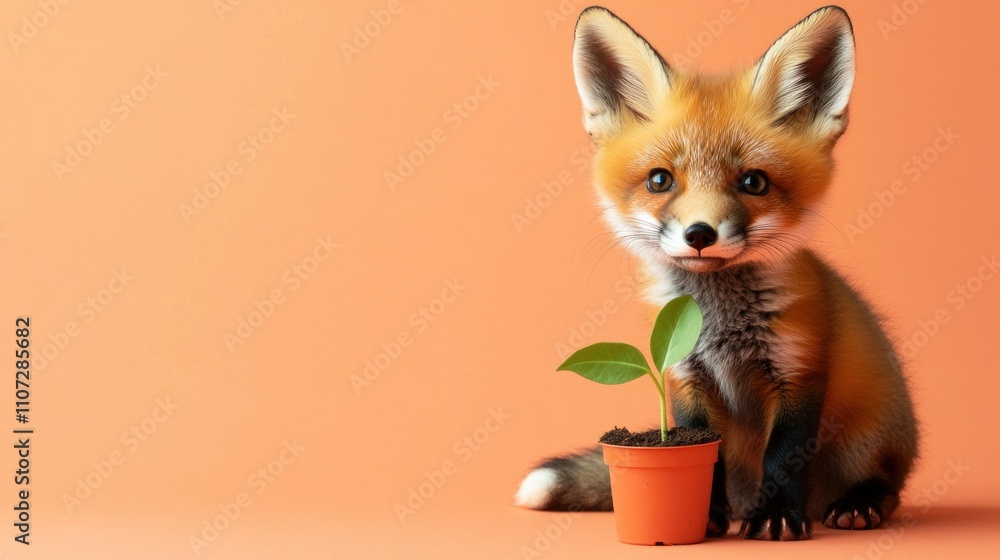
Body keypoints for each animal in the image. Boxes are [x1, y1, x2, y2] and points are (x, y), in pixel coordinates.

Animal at [515, 5, 919, 541]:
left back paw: (858, 503)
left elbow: (784, 455)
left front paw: (775, 517)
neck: (721, 323)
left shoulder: (799, 370)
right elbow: (704, 451)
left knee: (889, 486)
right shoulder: (683, 373)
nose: (700, 234)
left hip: (870, 438)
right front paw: (704, 516)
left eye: (754, 183)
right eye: (660, 180)